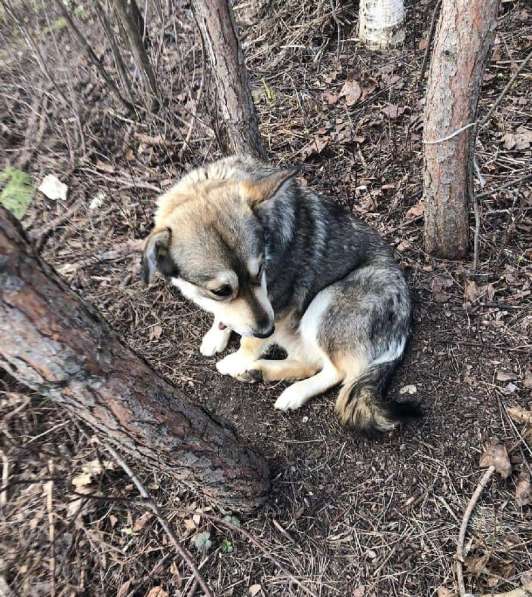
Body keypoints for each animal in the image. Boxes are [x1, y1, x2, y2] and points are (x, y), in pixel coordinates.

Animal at [142, 156, 420, 430]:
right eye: (221, 290)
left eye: (260, 271)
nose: (269, 330)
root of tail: (404, 328)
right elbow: (225, 317)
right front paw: (216, 335)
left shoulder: (278, 307)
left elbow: (249, 342)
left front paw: (237, 358)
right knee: (310, 363)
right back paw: (260, 371)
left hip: (324, 304)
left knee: (337, 372)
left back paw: (292, 390)